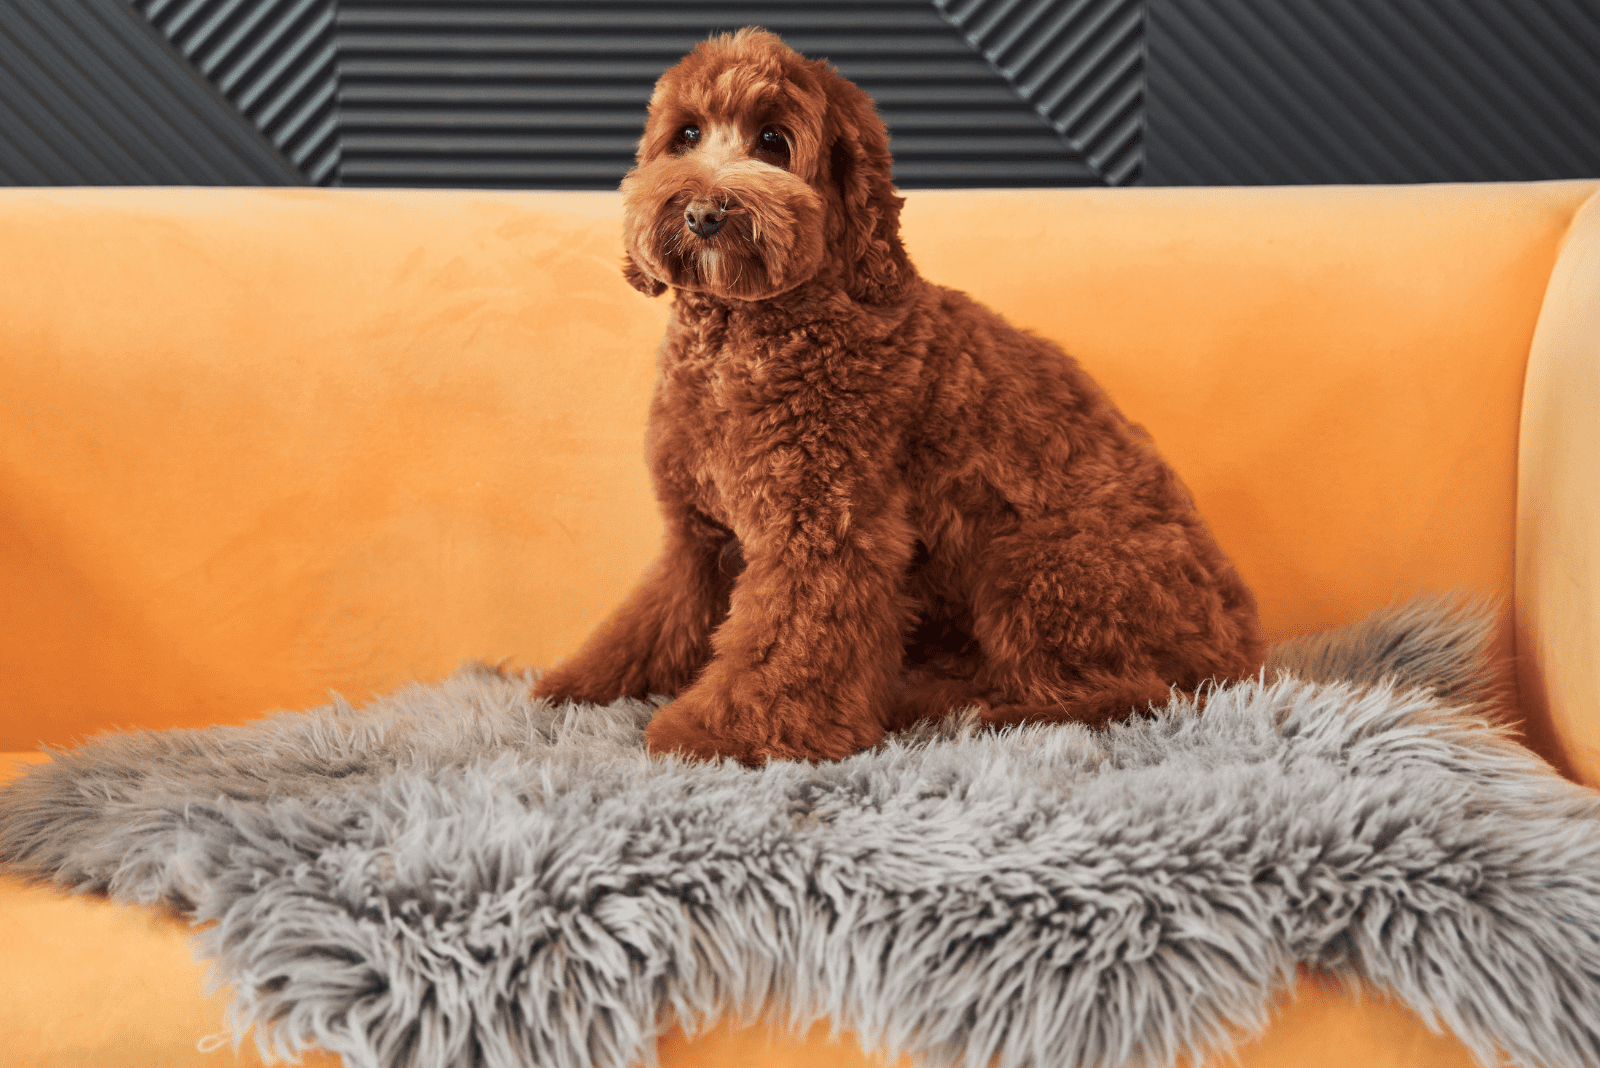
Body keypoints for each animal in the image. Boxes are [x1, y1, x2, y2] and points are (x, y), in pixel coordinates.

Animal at [534, 24, 1260, 757]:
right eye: (685, 135)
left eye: (773, 140)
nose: (704, 212)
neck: (742, 340)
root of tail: (1242, 653)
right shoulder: (700, 535)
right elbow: (657, 619)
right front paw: (580, 686)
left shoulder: (821, 529)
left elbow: (787, 641)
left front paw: (722, 733)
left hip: (1035, 565)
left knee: (1125, 693)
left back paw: (970, 710)